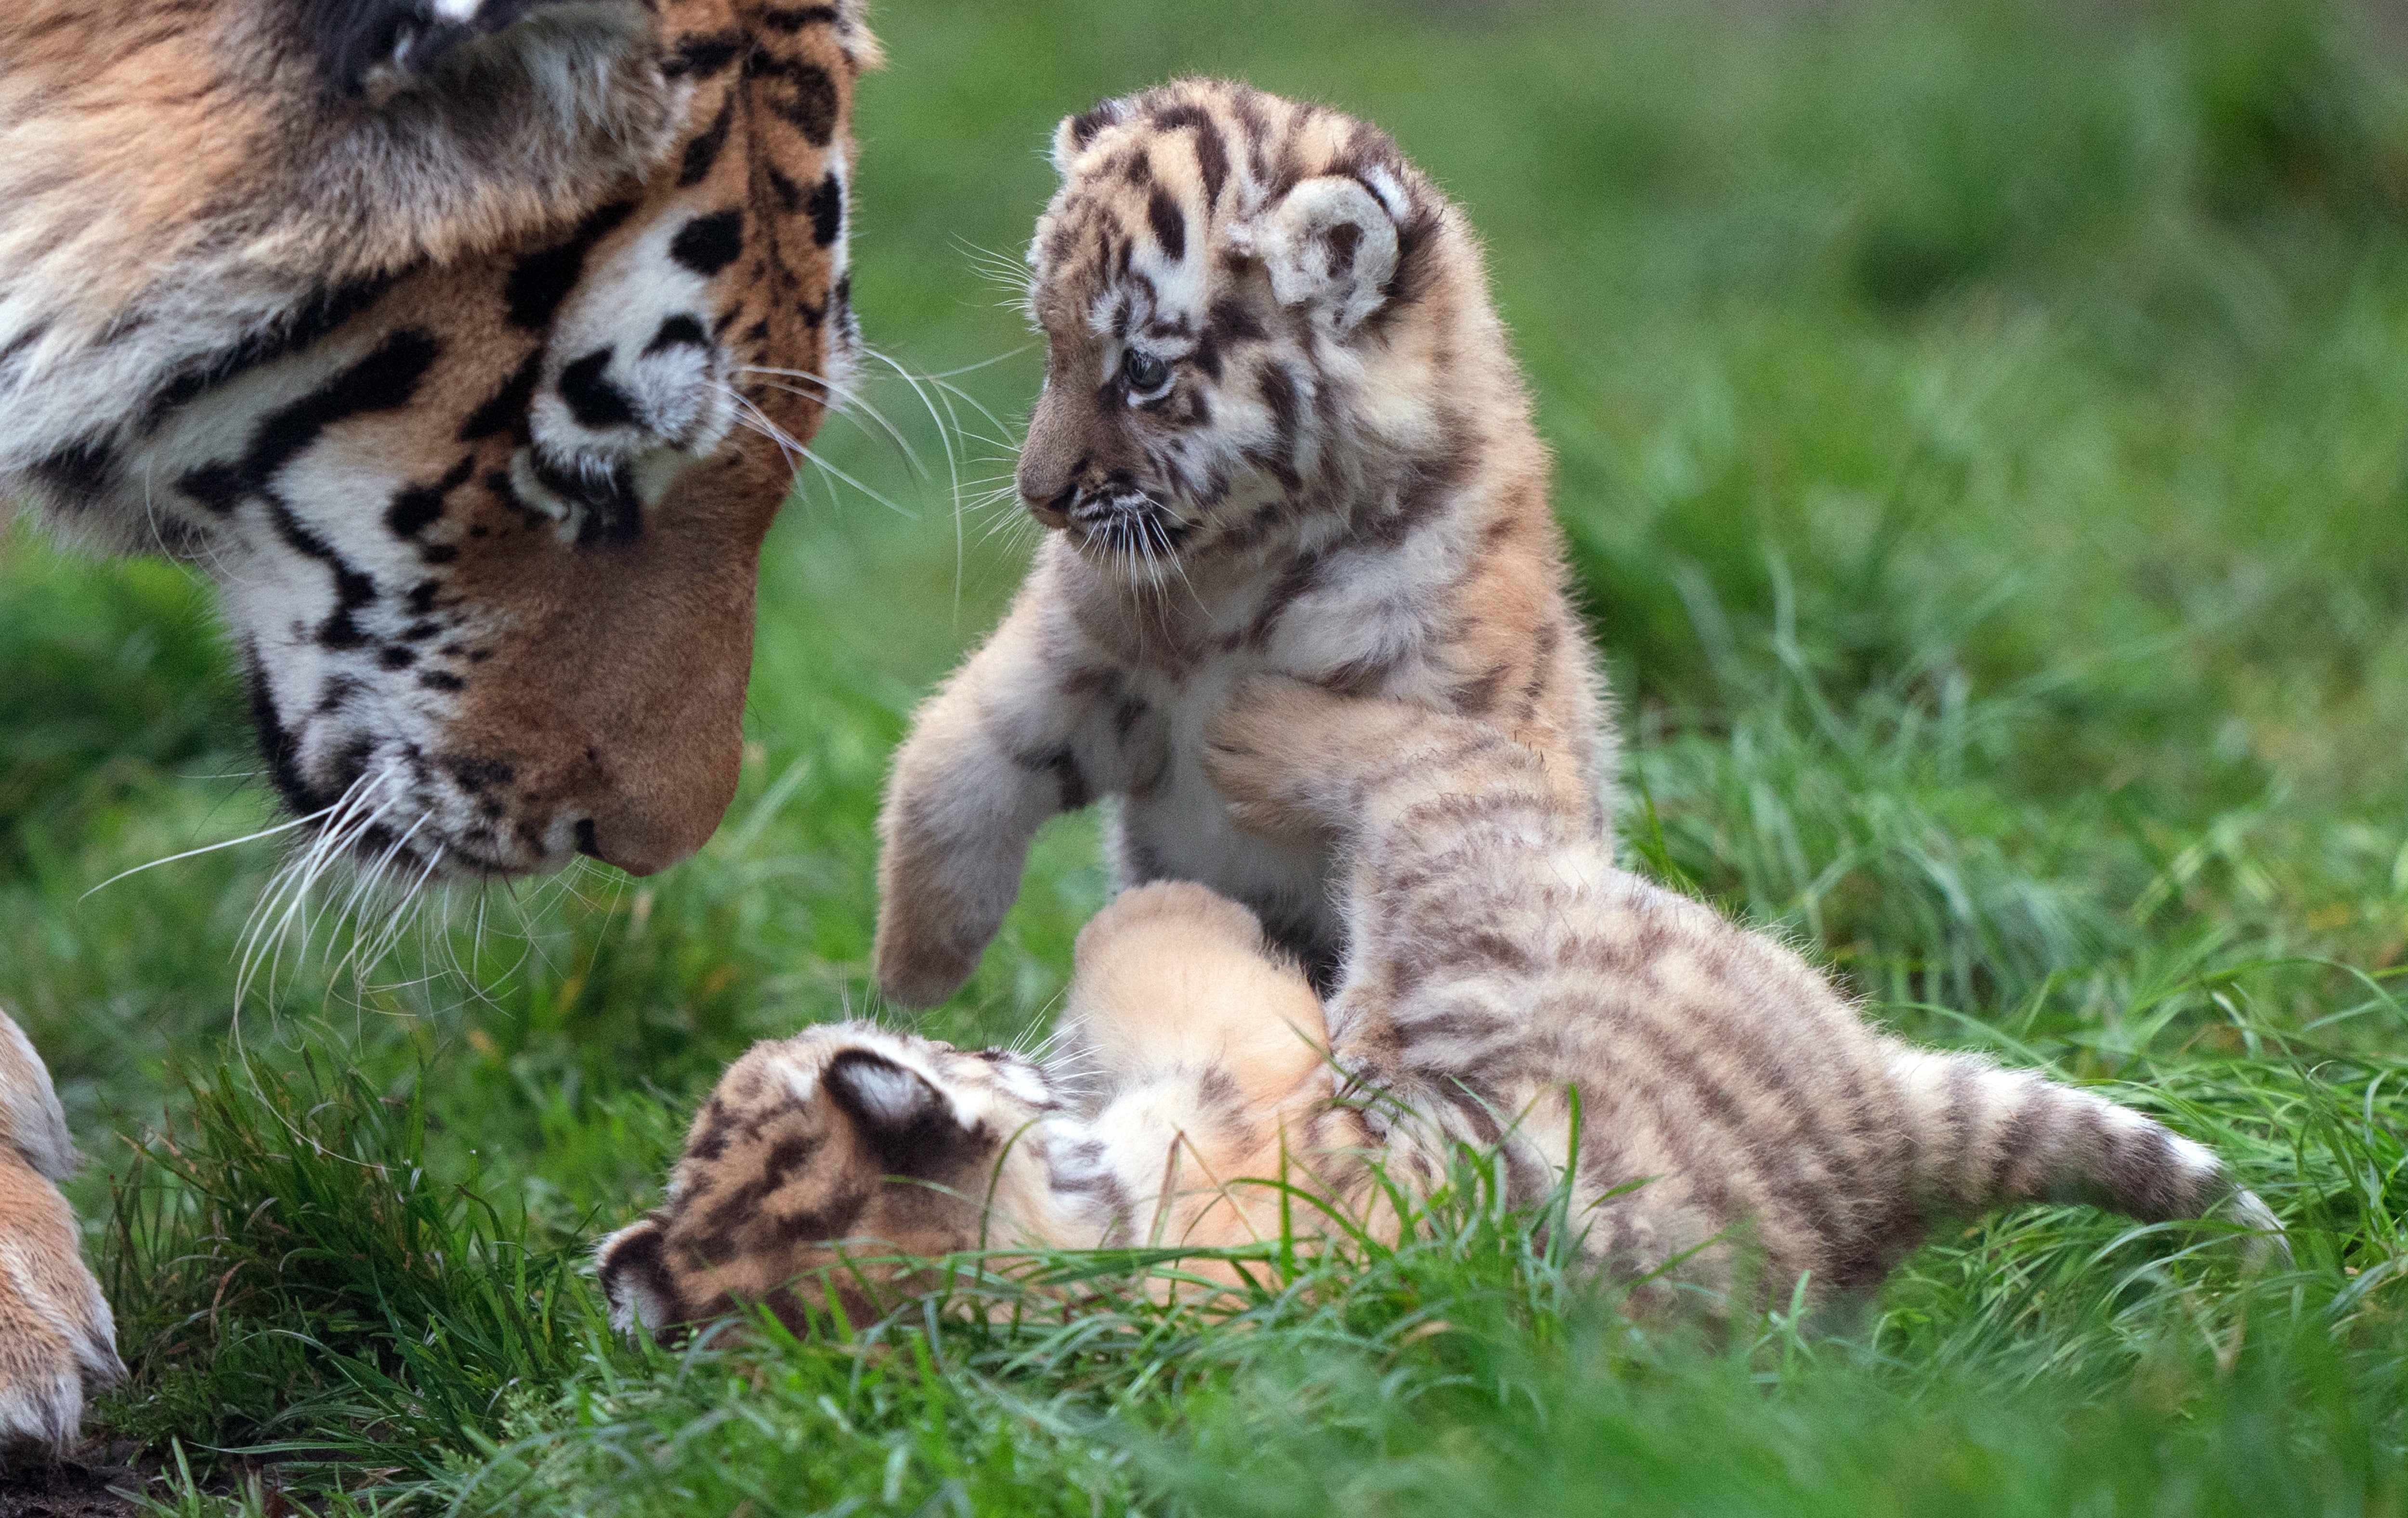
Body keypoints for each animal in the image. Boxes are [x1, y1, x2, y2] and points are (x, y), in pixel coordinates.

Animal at [599, 680, 2283, 1337]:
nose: (984, 1048)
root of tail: (1878, 1114)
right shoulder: (1260, 1064)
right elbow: (1152, 934)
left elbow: (1134, 941)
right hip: (1476, 865)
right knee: (1430, 752)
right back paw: (1257, 735)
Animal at [872, 80, 1612, 1008]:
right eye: (1052, 344)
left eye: (1143, 369)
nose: (1037, 499)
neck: (1238, 578)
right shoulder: (1079, 657)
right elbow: (954, 752)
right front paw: (913, 964)